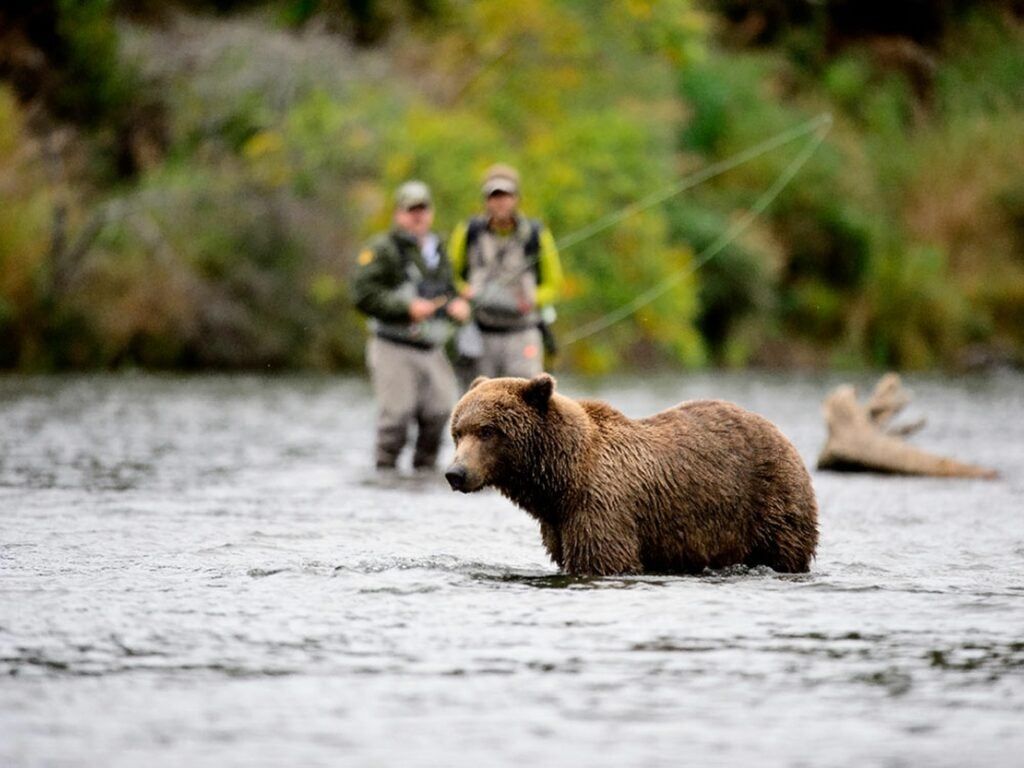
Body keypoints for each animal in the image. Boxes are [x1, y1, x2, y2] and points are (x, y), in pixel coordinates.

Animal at [445, 374, 818, 577]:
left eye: (487, 431)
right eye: (458, 431)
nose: (455, 473)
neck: (561, 481)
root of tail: (778, 431)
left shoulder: (601, 508)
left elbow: (604, 558)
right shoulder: (558, 524)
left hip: (769, 502)